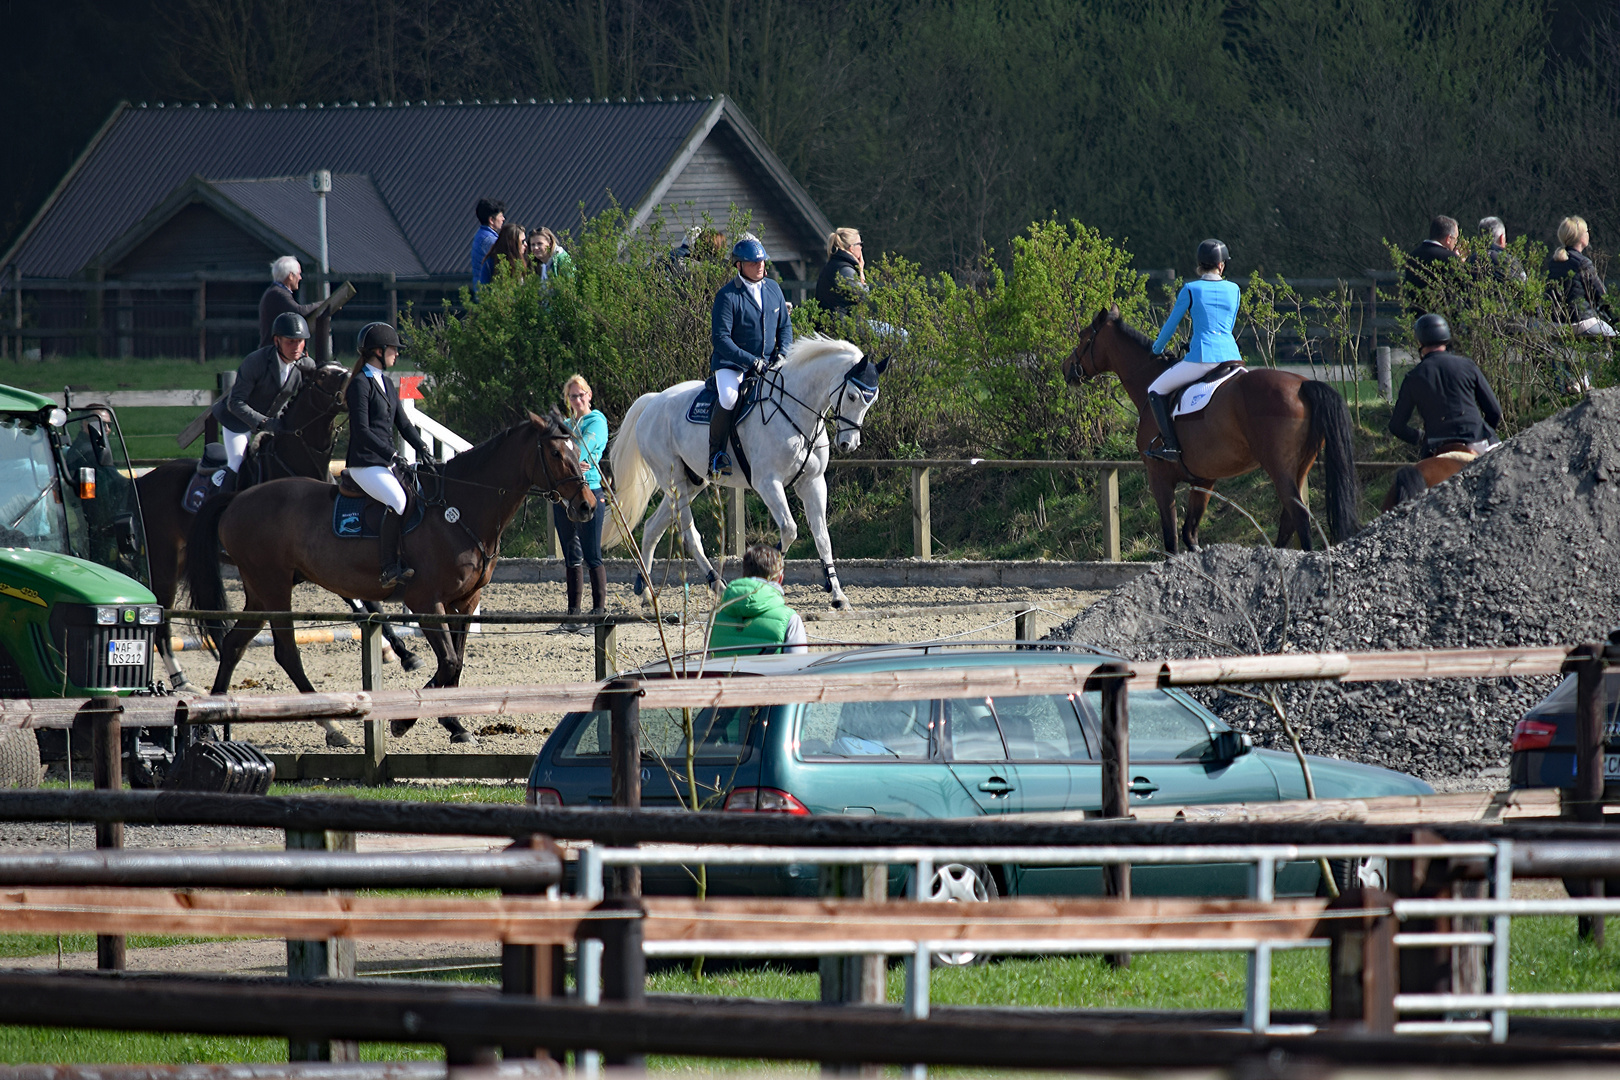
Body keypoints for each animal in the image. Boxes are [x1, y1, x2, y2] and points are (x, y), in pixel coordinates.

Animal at [134, 362, 424, 696]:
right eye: (323, 375)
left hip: (184, 562)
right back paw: (181, 681)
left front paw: (403, 652)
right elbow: (362, 602)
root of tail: (144, 480)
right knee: (162, 622)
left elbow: (368, 602)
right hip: (164, 564)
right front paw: (400, 651)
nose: (354, 384)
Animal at [187, 411, 596, 744]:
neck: (460, 508)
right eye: (556, 453)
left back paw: (210, 724)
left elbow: (457, 662)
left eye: (578, 448)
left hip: (261, 591)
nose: (586, 506)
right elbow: (449, 661)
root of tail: (238, 499)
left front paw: (454, 724)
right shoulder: (426, 602)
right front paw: (406, 721)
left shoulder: (465, 602)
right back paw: (330, 726)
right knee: (286, 652)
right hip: (273, 588)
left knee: (234, 645)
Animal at [605, 338, 894, 608]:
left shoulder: (812, 483)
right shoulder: (768, 483)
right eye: (853, 396)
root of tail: (653, 401)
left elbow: (822, 537)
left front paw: (837, 595)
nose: (848, 444)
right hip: (672, 478)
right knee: (690, 535)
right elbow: (789, 529)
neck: (797, 412)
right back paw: (718, 586)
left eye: (872, 400)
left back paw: (646, 592)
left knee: (652, 528)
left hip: (690, 483)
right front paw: (767, 575)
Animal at [1056, 306, 1360, 553]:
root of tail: (1302, 384)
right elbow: (1190, 535)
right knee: (1289, 518)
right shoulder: (1203, 480)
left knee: (1298, 515)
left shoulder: (1159, 478)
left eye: (1083, 337)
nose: (1066, 368)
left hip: (1279, 466)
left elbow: (1171, 540)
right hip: (1300, 466)